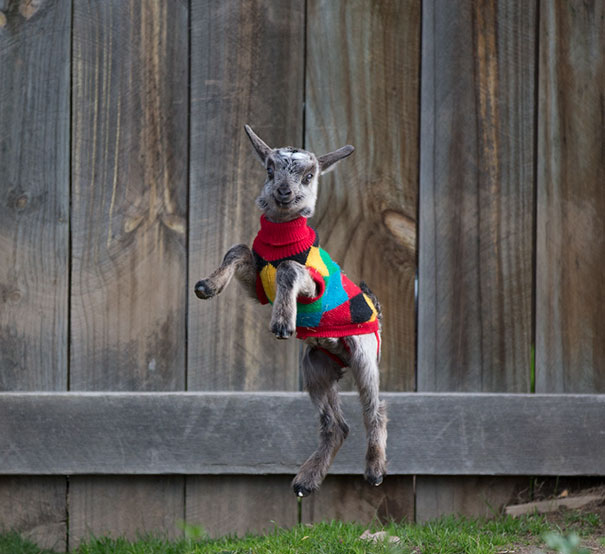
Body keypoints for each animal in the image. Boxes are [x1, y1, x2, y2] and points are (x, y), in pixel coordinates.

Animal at [196, 126, 390, 496]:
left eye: (309, 175)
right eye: (270, 169)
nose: (284, 192)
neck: (281, 240)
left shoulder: (314, 285)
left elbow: (288, 268)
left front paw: (283, 322)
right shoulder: (258, 286)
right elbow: (237, 249)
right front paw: (208, 286)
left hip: (364, 353)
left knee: (374, 411)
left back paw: (374, 470)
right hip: (315, 366)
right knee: (336, 425)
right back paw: (306, 481)